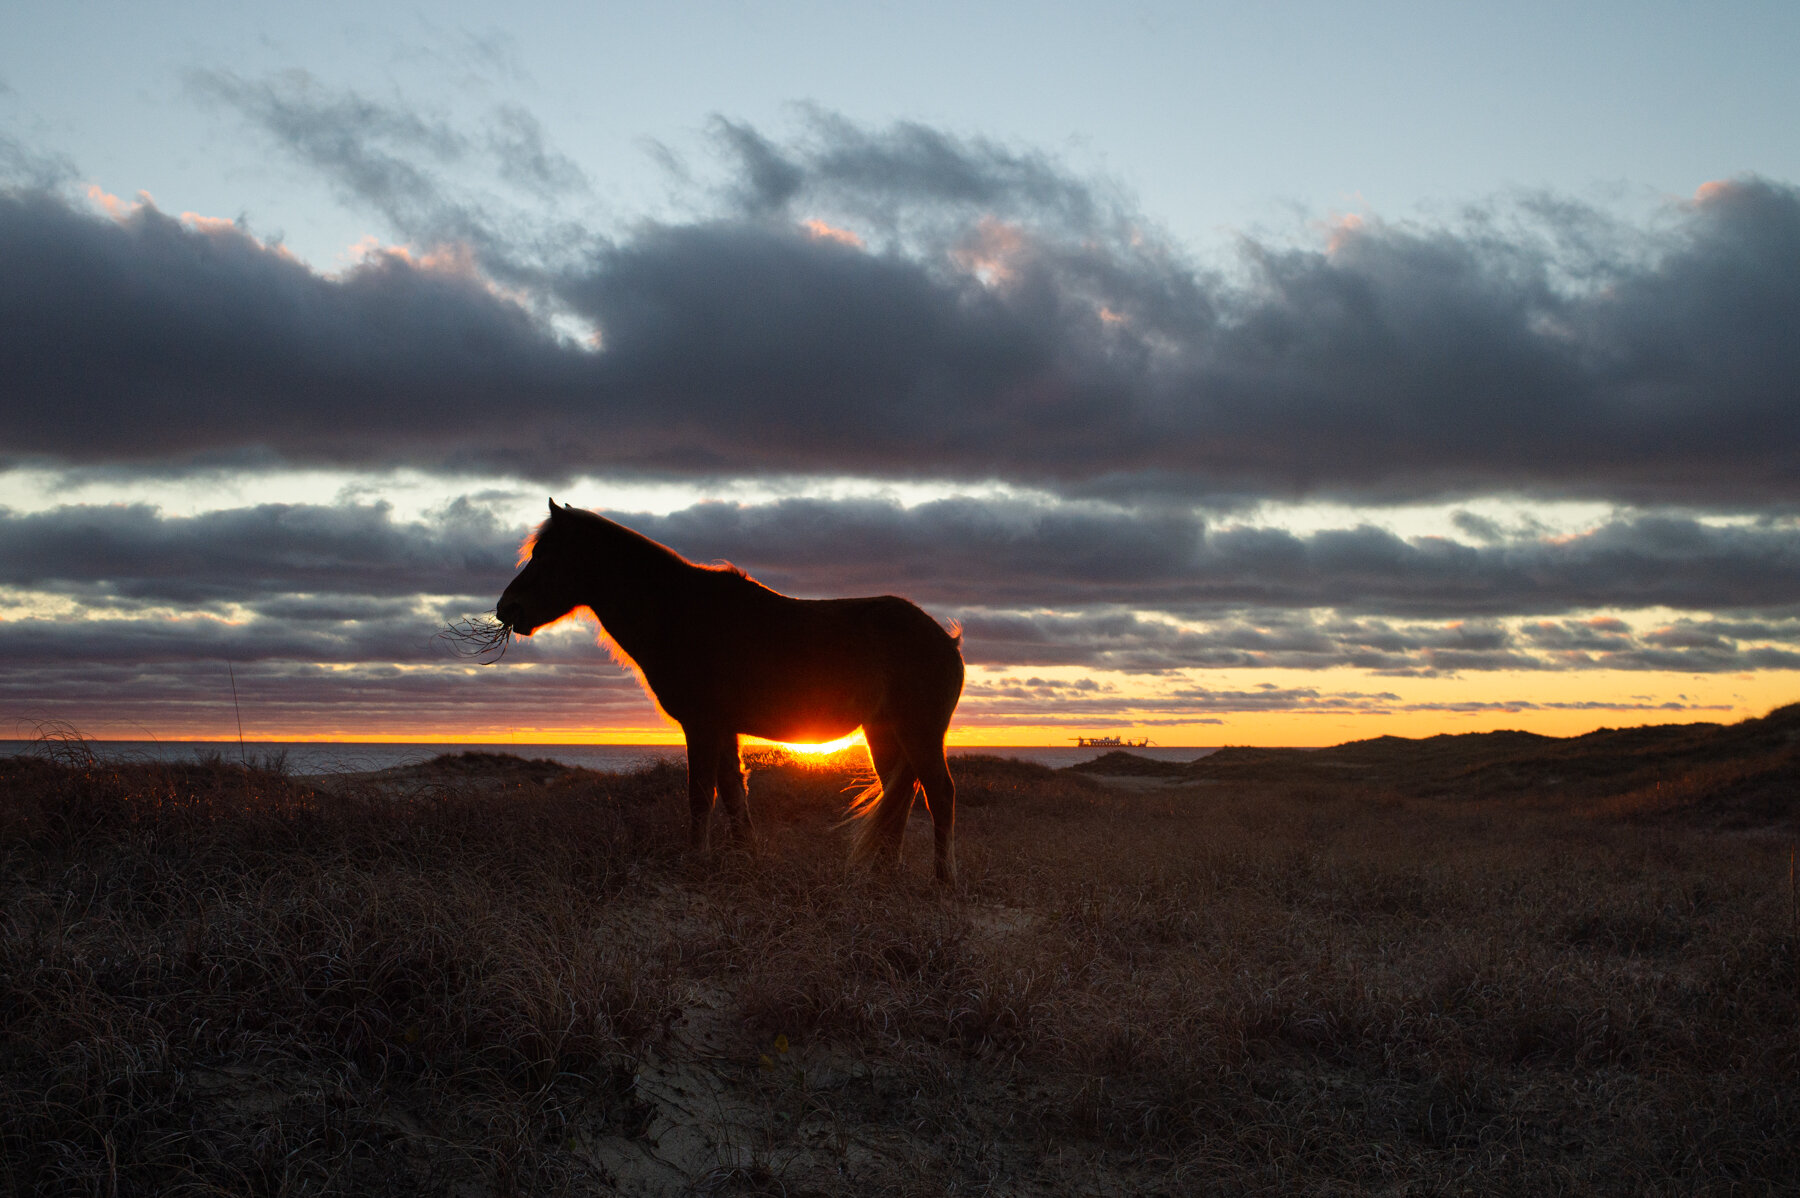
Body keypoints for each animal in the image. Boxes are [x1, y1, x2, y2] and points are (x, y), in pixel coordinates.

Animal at [493, 500, 972, 881]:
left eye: (546, 555)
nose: (506, 609)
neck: (679, 611)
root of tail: (946, 640)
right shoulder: (723, 730)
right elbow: (732, 794)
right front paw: (745, 860)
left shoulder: (702, 726)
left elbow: (701, 794)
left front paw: (696, 862)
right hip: (884, 732)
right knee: (900, 794)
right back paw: (885, 873)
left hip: (919, 732)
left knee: (940, 793)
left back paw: (943, 880)